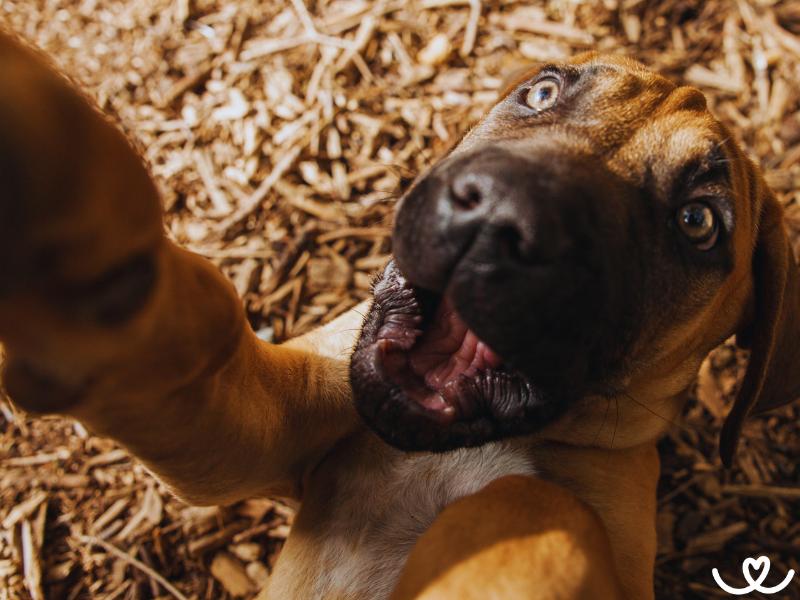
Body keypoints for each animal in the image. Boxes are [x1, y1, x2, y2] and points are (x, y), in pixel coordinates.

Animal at [1, 34, 800, 600]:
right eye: (541, 92)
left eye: (698, 222)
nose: (503, 211)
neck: (455, 449)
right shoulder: (249, 420)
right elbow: (189, 334)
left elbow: (527, 504)